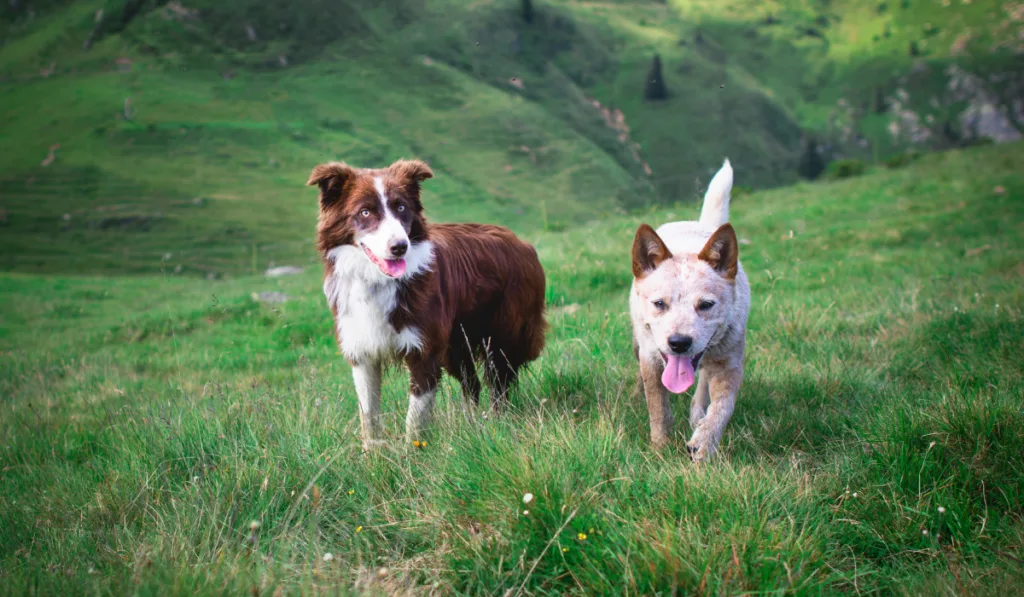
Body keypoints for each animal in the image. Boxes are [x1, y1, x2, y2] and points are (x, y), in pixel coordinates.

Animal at [307, 158, 548, 448]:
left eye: (401, 207)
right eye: (365, 212)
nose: (400, 247)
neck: (378, 281)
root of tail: (523, 244)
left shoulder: (424, 351)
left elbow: (415, 418)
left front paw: (414, 453)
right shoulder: (362, 350)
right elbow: (369, 416)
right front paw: (372, 455)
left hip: (502, 334)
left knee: (499, 382)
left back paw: (497, 425)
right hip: (456, 346)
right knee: (473, 384)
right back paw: (472, 427)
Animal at [626, 160, 749, 464]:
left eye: (705, 305)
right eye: (659, 304)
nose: (679, 343)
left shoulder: (730, 362)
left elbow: (722, 408)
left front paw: (702, 444)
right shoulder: (650, 357)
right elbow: (658, 407)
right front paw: (660, 448)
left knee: (703, 384)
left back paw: (697, 416)